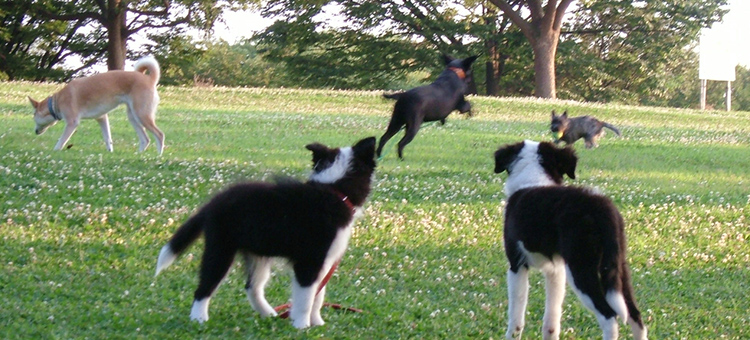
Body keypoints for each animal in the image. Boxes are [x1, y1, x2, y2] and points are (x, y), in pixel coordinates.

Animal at [154, 137, 376, 328]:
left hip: (258, 252)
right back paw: (199, 318)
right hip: (220, 248)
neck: (334, 190)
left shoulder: (325, 262)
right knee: (205, 286)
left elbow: (318, 295)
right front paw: (302, 325)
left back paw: (269, 313)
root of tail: (213, 203)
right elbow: (306, 297)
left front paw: (317, 322)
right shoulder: (309, 261)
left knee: (252, 287)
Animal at [494, 139, 648, 338]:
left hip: (581, 268)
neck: (534, 178)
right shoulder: (556, 270)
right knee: (635, 316)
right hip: (617, 267)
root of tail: (601, 208)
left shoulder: (516, 265)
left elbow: (516, 317)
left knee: (609, 317)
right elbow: (552, 320)